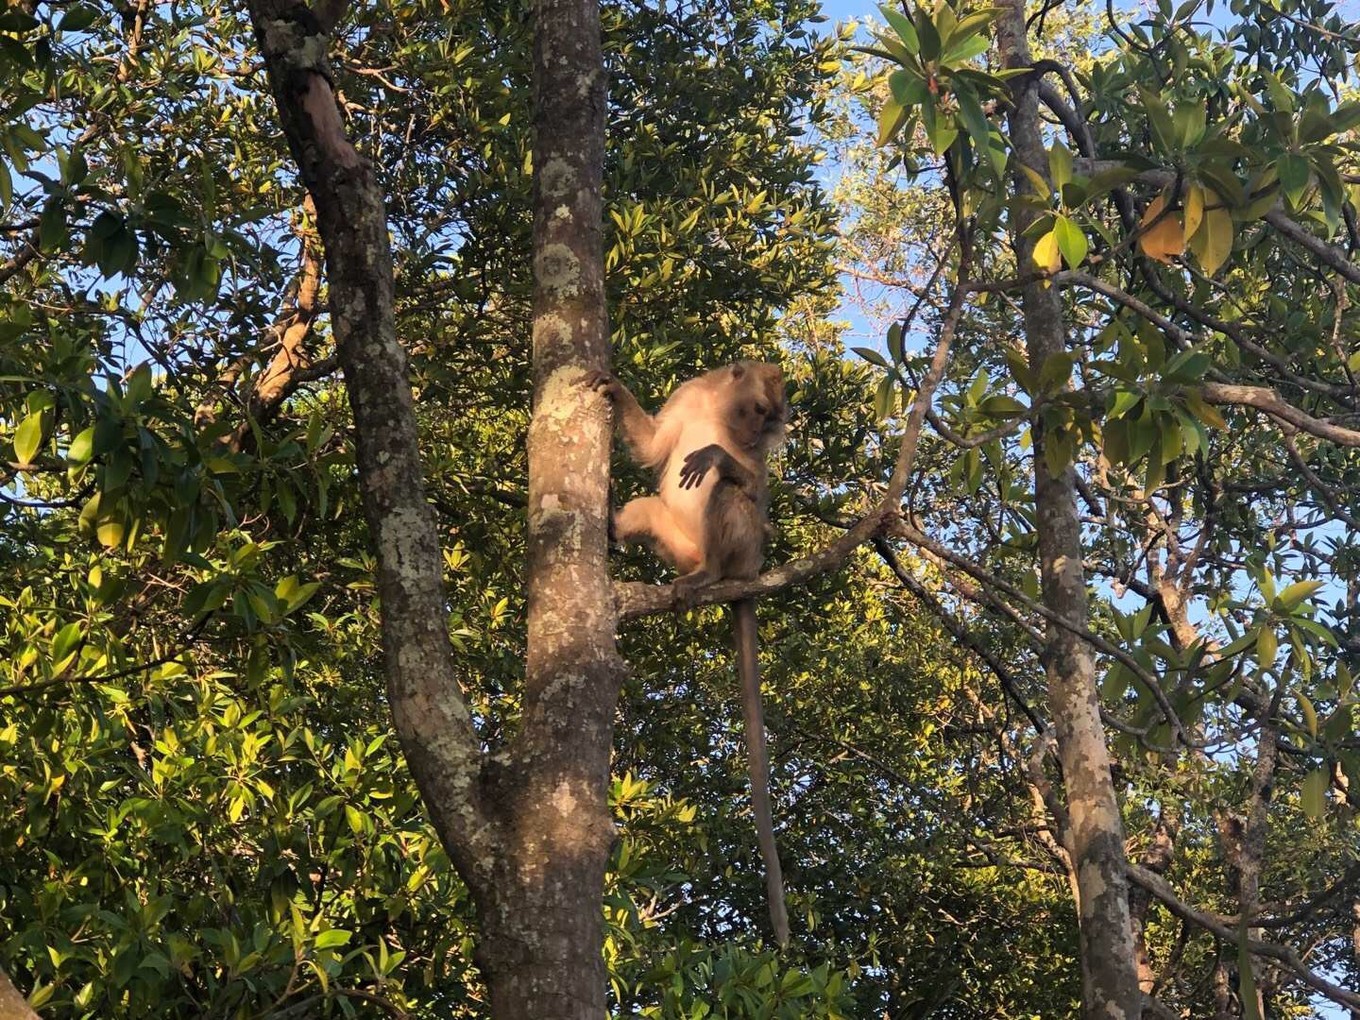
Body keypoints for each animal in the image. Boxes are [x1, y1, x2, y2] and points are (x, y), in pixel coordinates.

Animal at [587, 361, 794, 952]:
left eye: (772, 418)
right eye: (760, 410)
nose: (759, 432)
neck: (720, 410)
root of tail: (748, 574)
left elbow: (752, 487)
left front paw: (720, 455)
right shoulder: (688, 397)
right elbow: (656, 445)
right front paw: (615, 392)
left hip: (745, 550)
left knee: (730, 498)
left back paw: (709, 574)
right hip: (676, 542)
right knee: (648, 506)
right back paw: (616, 529)